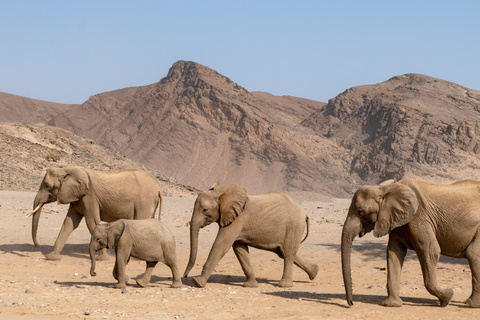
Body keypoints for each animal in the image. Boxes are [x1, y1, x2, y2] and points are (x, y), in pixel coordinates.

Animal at [28, 166, 164, 262]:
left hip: (145, 201)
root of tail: (159, 187)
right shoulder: (77, 197)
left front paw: (102, 259)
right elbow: (70, 223)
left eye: (47, 185)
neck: (65, 170)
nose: (37, 245)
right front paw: (51, 257)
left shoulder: (89, 196)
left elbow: (91, 222)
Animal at [182, 184, 316, 288]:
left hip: (293, 227)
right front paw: (250, 286)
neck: (221, 192)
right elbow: (240, 249)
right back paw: (314, 272)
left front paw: (197, 283)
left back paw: (284, 285)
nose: (185, 275)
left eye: (205, 210)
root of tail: (305, 214)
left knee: (287, 254)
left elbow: (221, 245)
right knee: (283, 252)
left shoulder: (237, 220)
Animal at [342, 179, 480, 308]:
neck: (385, 188)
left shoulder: (419, 217)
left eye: (360, 212)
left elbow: (431, 251)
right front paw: (392, 304)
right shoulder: (397, 220)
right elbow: (394, 252)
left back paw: (471, 304)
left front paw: (447, 298)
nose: (351, 303)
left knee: (473, 254)